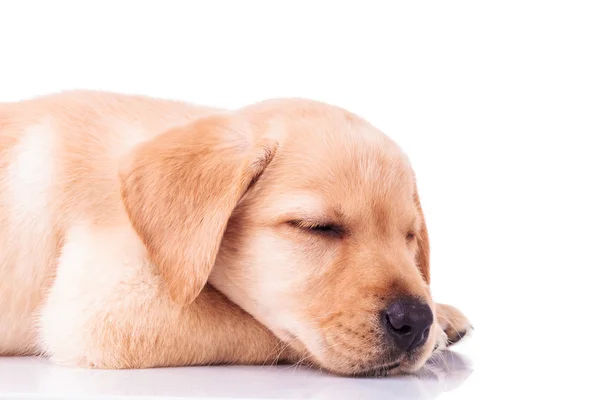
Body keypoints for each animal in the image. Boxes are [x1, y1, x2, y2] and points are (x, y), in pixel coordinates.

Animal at [0, 92, 472, 376]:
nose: (416, 320)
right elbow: (250, 322)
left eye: (408, 237)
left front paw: (442, 314)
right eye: (318, 228)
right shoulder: (101, 310)